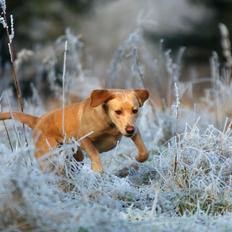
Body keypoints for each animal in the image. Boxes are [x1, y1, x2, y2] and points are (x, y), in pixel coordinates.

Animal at [0, 89, 149, 172]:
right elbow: (94, 153)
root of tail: (38, 120)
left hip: (76, 155)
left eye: (135, 110)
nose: (129, 129)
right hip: (49, 155)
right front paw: (97, 169)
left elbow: (144, 150)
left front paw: (139, 158)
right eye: (118, 111)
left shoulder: (134, 131)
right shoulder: (83, 138)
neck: (110, 123)